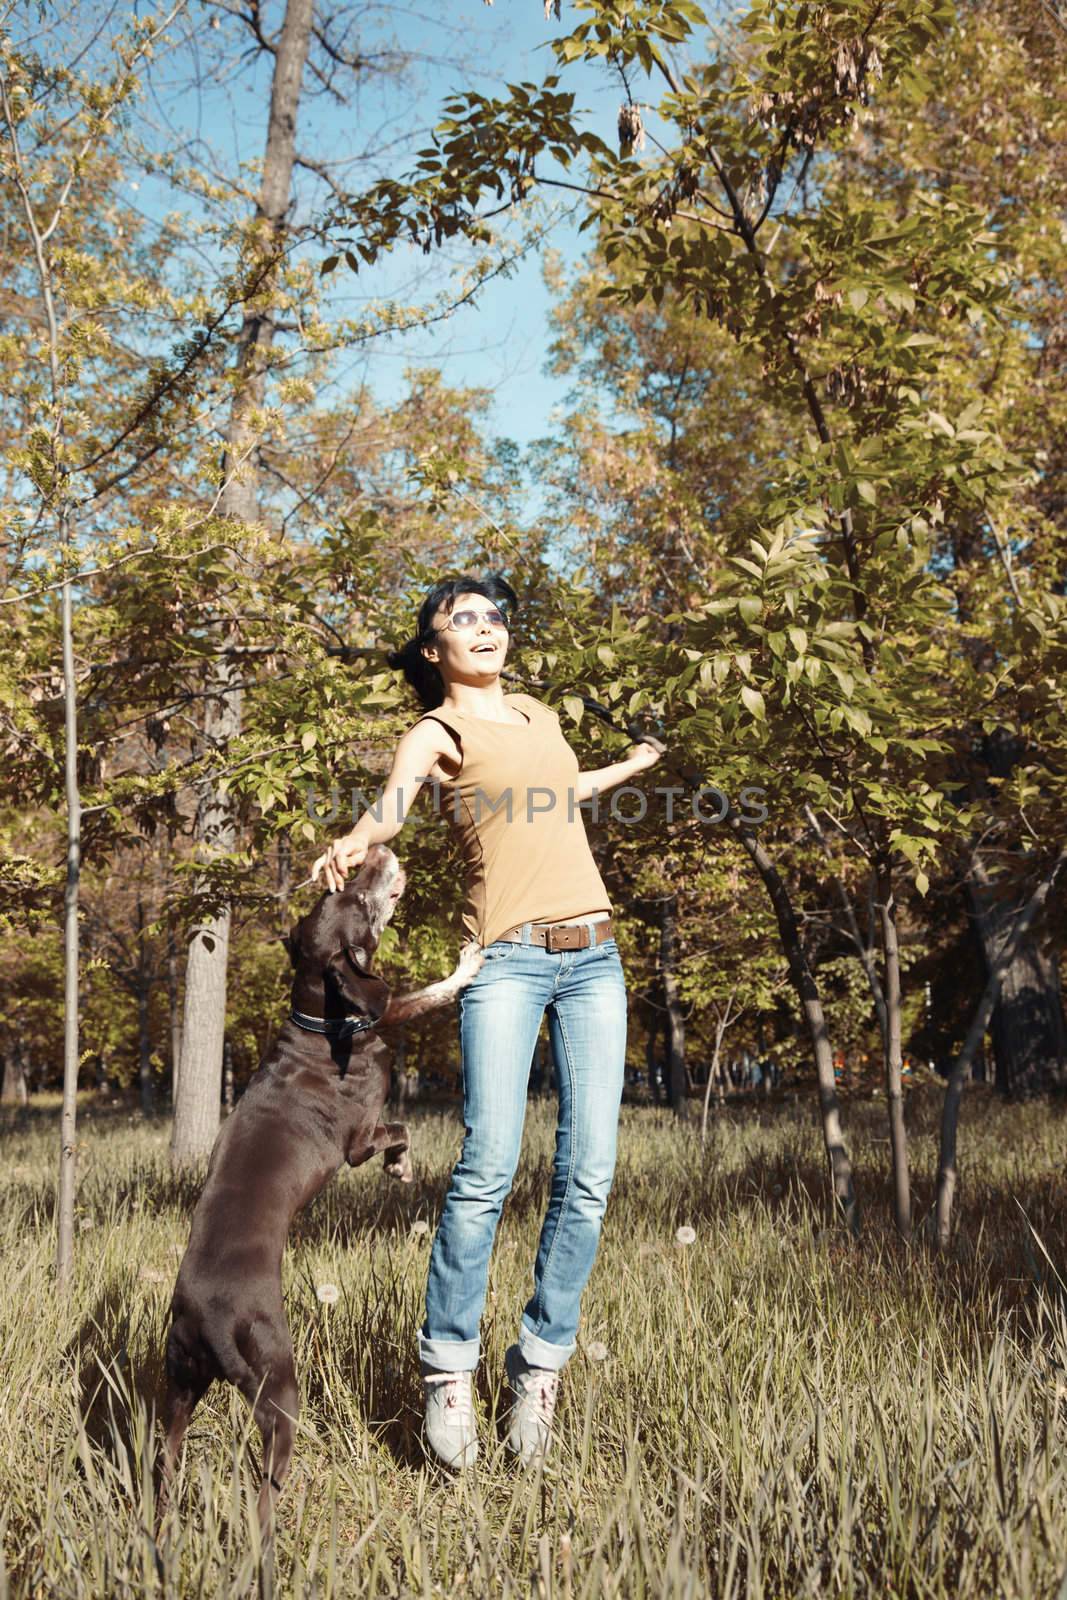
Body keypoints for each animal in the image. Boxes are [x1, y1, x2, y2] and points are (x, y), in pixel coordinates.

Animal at [160, 844, 483, 1529]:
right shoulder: (357, 1140)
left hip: (179, 1382)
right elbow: (405, 1088)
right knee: (264, 1488)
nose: (378, 850)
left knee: (164, 1455)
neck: (318, 1020)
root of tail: (207, 1319)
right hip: (278, 1386)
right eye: (359, 899)